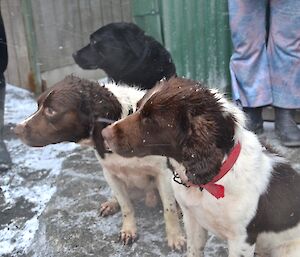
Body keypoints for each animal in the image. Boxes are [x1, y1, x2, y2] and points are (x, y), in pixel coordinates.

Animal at [101, 76, 300, 256]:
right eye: (137, 107)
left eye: (150, 120)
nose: (104, 133)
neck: (210, 184)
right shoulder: (192, 219)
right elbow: (194, 249)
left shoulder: (241, 239)